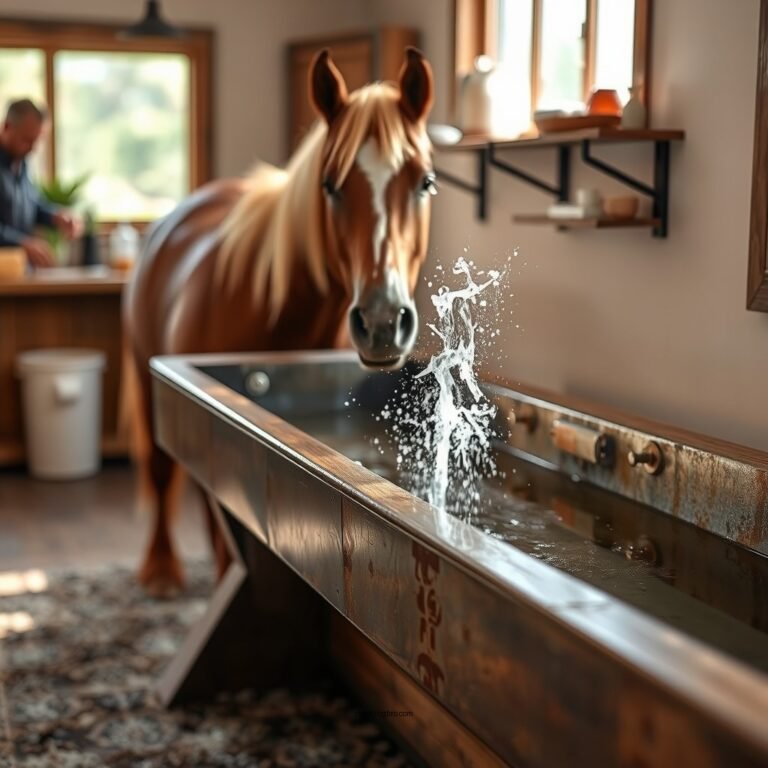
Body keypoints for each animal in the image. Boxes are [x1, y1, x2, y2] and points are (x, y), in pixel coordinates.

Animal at [124, 48, 436, 596]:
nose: (381, 320)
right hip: (146, 377)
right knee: (161, 476)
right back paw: (161, 569)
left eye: (425, 182)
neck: (284, 309)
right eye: (330, 185)